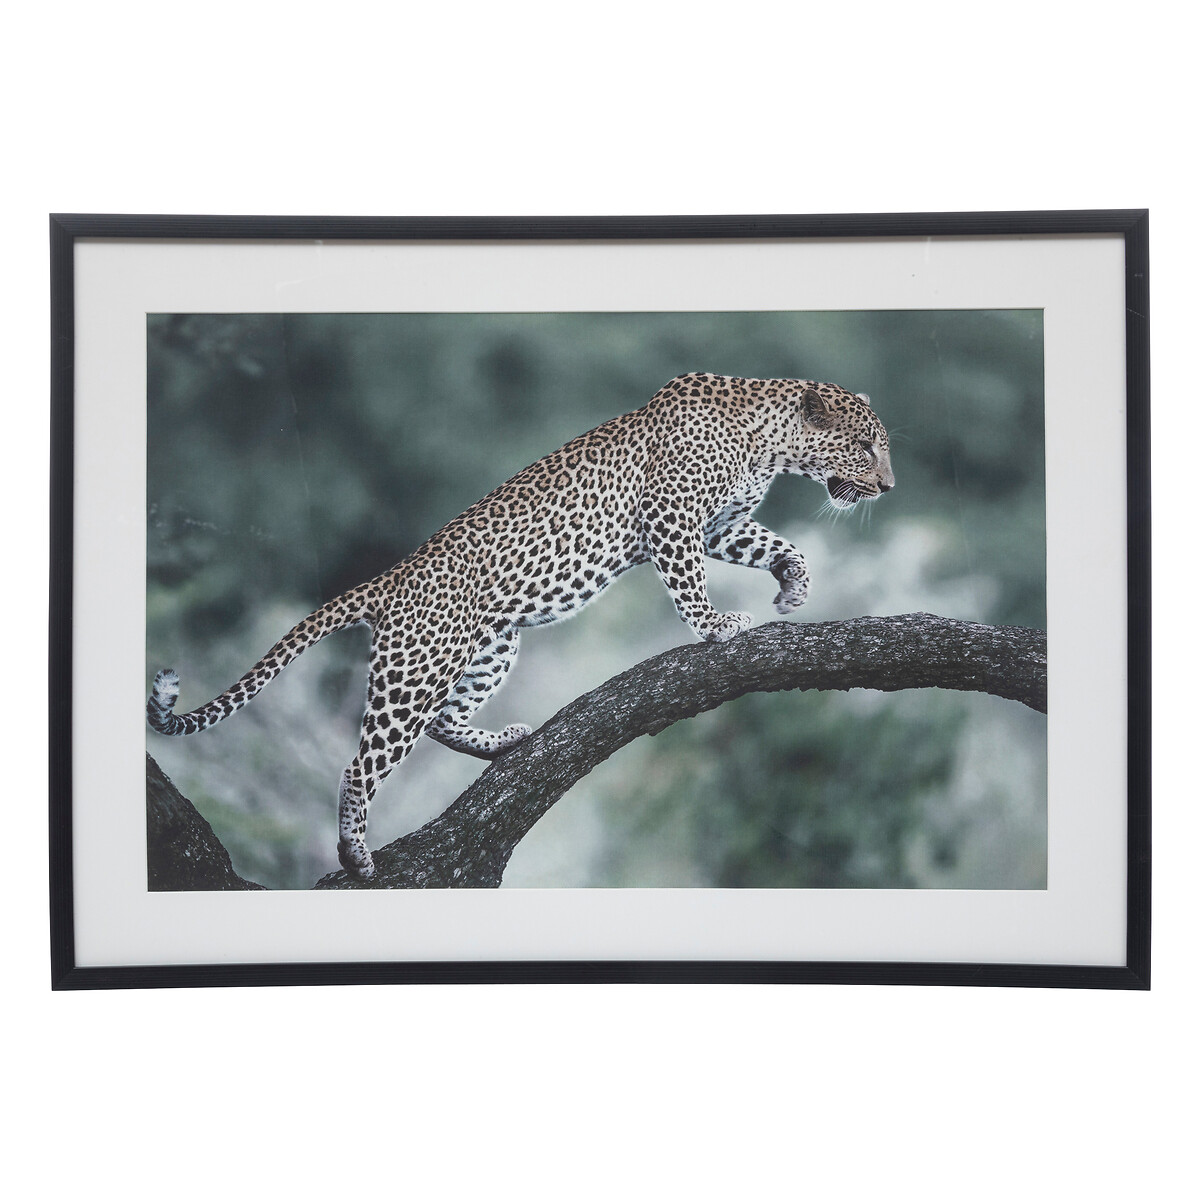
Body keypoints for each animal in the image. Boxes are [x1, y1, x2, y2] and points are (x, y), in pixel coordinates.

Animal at [147, 372, 894, 879]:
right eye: (866, 446)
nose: (889, 487)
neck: (770, 444)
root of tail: (393, 578)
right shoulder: (671, 519)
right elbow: (689, 584)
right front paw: (716, 626)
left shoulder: (720, 526)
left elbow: (777, 544)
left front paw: (793, 586)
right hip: (415, 671)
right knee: (362, 763)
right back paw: (354, 852)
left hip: (492, 648)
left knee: (445, 721)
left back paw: (500, 741)